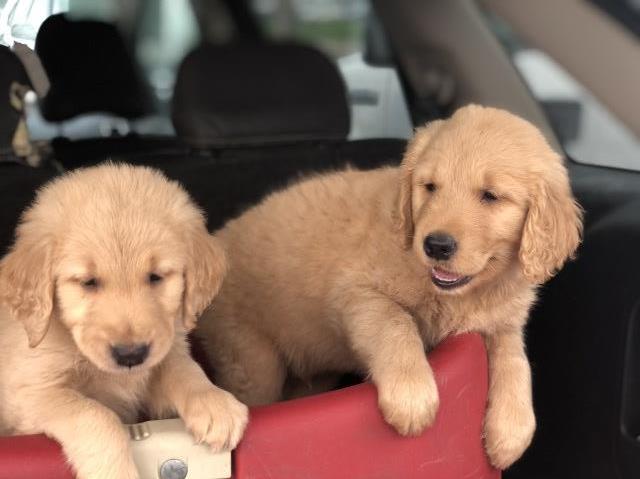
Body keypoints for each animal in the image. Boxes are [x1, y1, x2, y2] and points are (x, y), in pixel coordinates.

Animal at [0, 165, 248, 479]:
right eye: (88, 282)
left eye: (156, 277)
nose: (131, 355)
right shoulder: (31, 394)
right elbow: (95, 414)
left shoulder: (164, 352)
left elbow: (182, 368)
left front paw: (213, 402)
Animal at [198, 105, 584, 468]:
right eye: (430, 187)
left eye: (491, 196)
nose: (436, 245)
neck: (458, 294)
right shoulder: (357, 293)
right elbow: (396, 322)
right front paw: (412, 396)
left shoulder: (500, 321)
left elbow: (516, 360)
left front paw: (513, 431)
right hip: (252, 358)